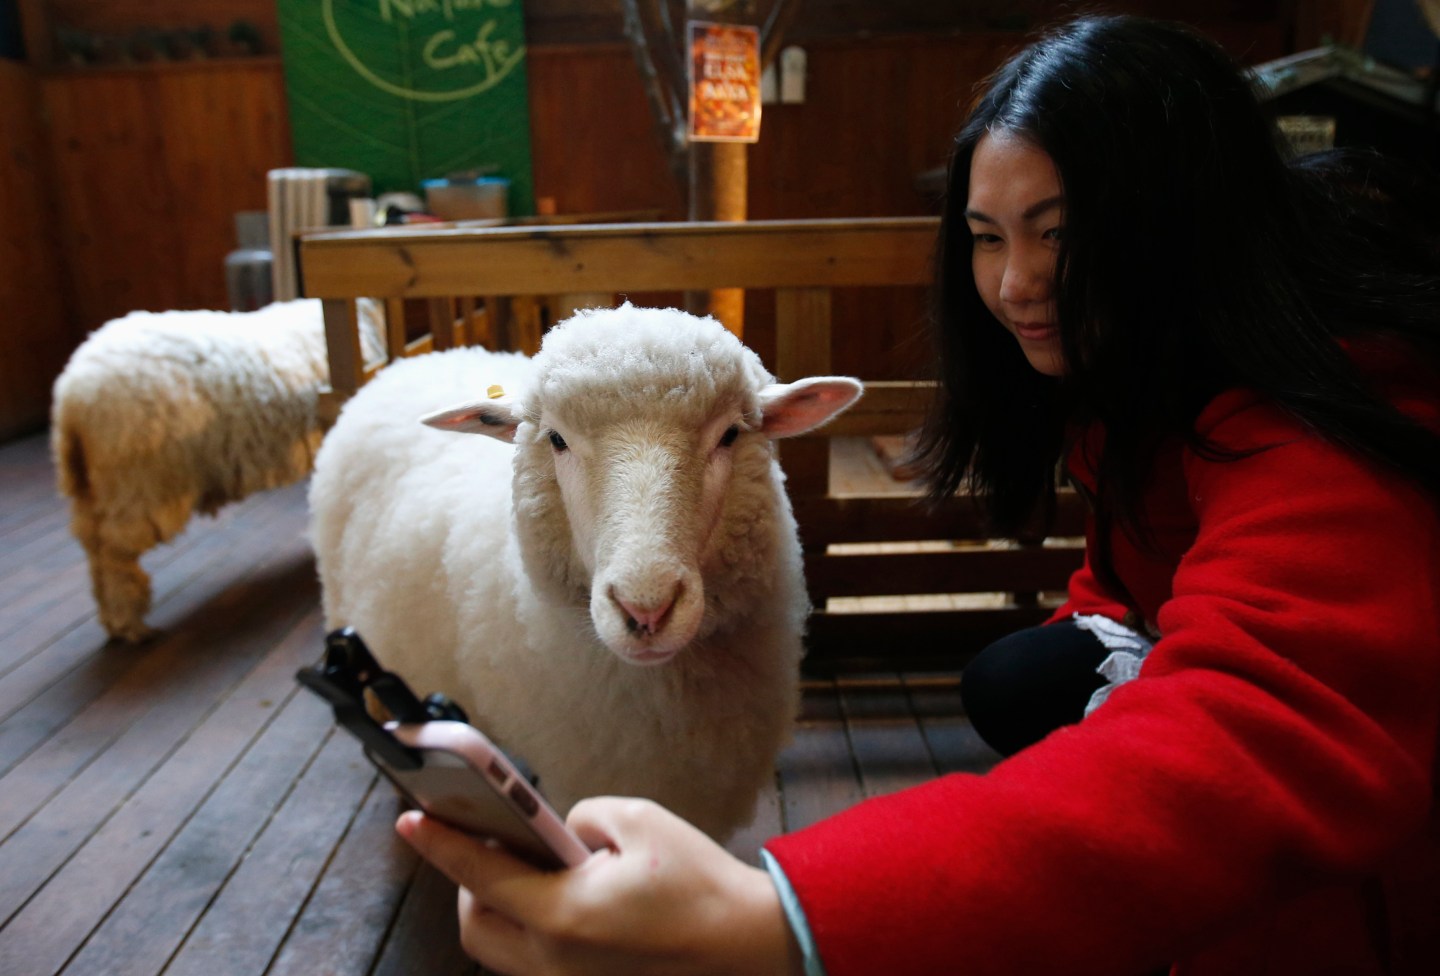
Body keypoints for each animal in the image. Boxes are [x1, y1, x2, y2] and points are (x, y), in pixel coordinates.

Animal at [52, 298, 383, 643]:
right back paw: (128, 623)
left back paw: (112, 620)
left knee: (93, 547)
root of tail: (71, 398)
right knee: (113, 556)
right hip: (138, 486)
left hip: (98, 488)